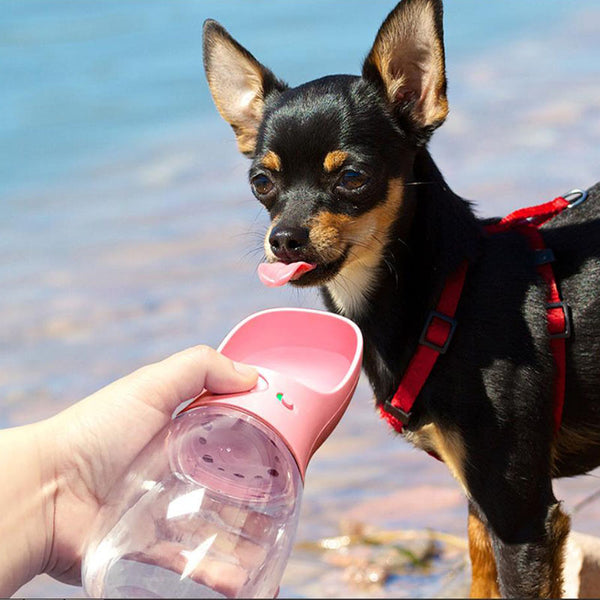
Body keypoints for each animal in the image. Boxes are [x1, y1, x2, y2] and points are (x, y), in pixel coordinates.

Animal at [203, 1, 600, 596]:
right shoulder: (481, 510)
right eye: (261, 182)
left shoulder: (522, 518)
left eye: (352, 176)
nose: (284, 239)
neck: (445, 295)